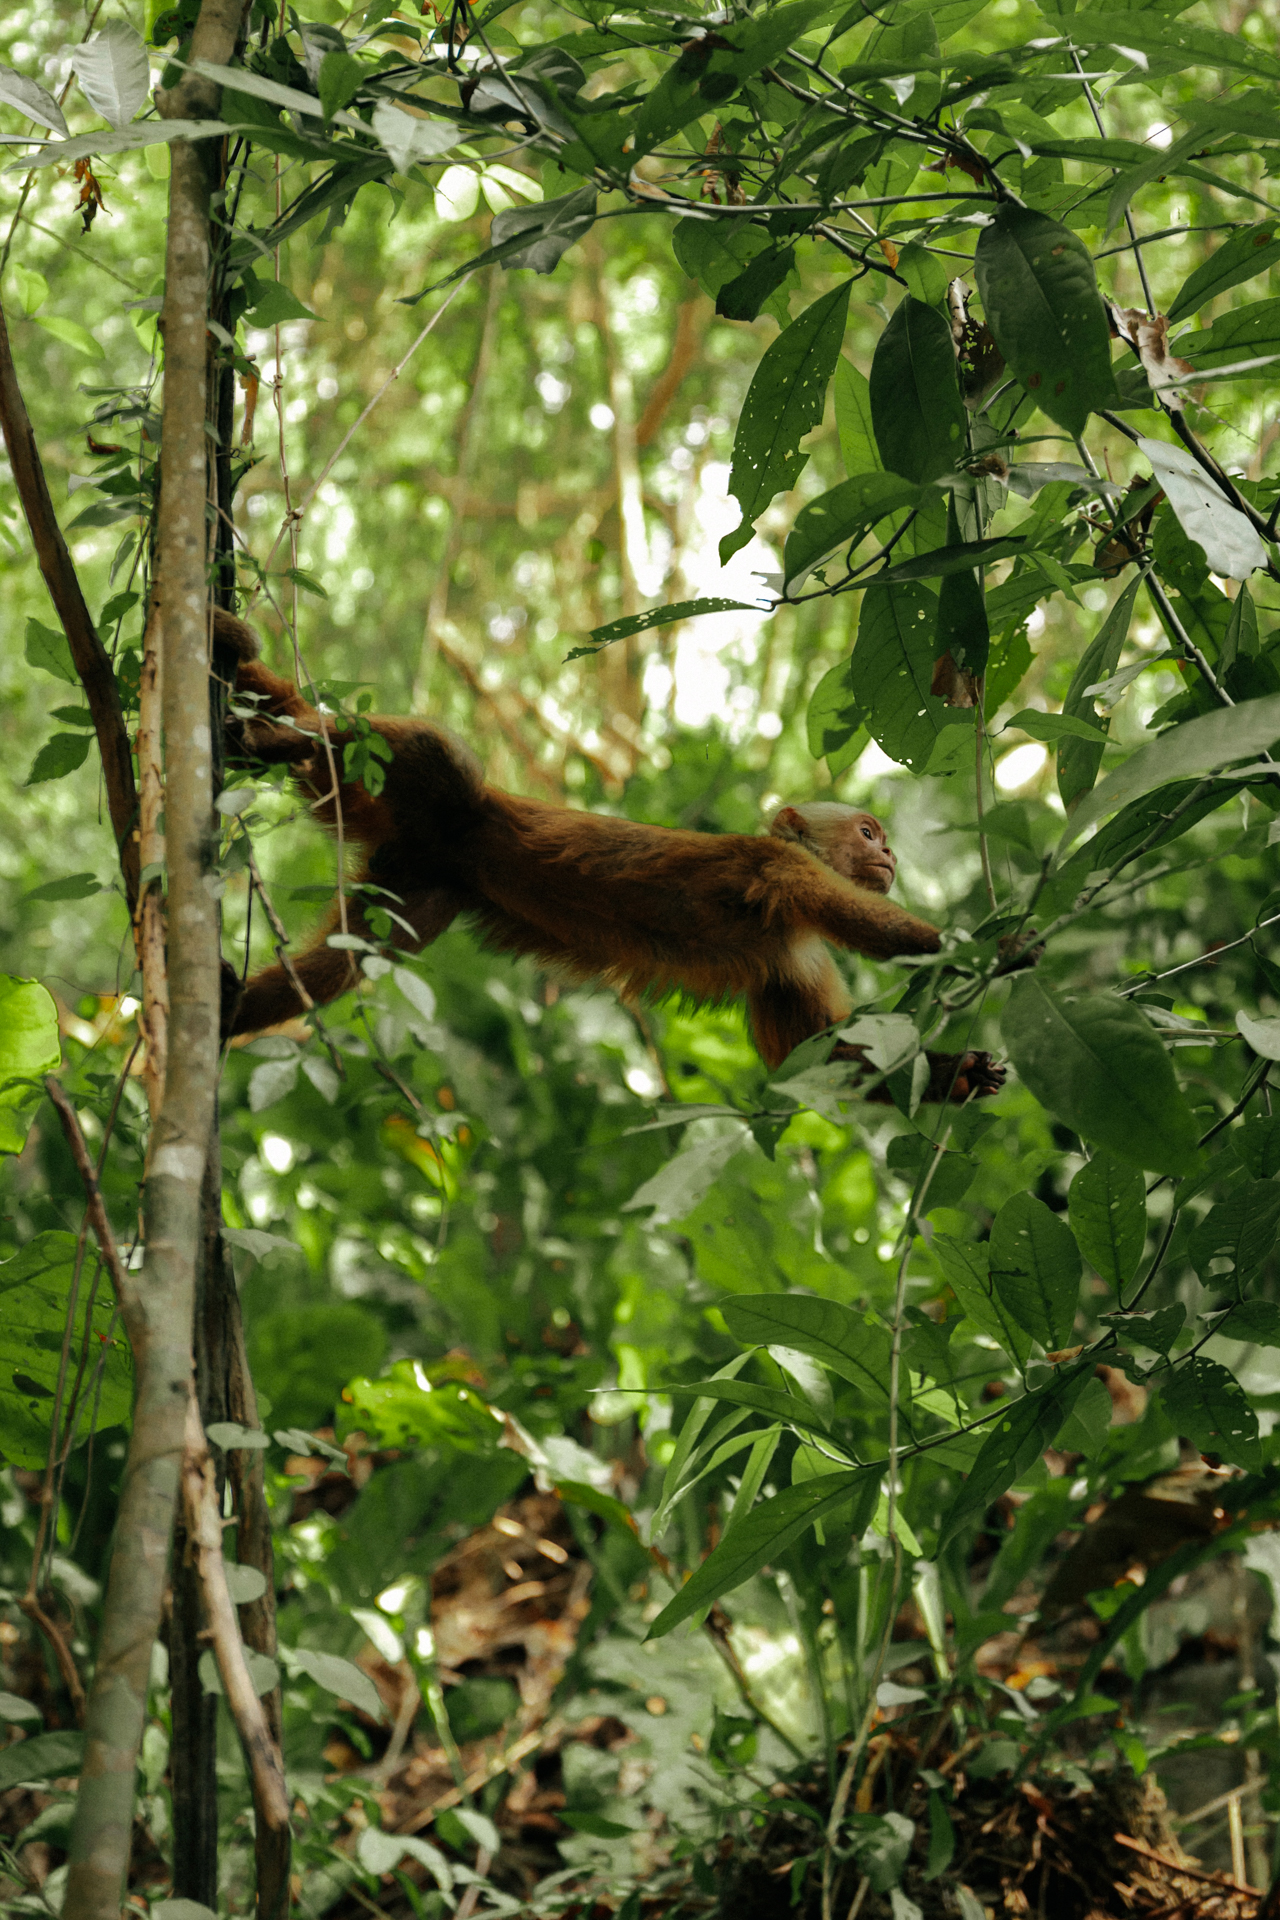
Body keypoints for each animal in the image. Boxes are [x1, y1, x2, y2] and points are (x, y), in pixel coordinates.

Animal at [215, 611, 1003, 1102]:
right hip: (420, 790)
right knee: (435, 755)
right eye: (868, 833)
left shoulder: (796, 959)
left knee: (349, 962)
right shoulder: (785, 872)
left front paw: (956, 1074)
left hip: (420, 880)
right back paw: (282, 735)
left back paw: (237, 1005)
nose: (890, 852)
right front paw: (992, 950)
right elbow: (865, 928)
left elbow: (824, 1060)